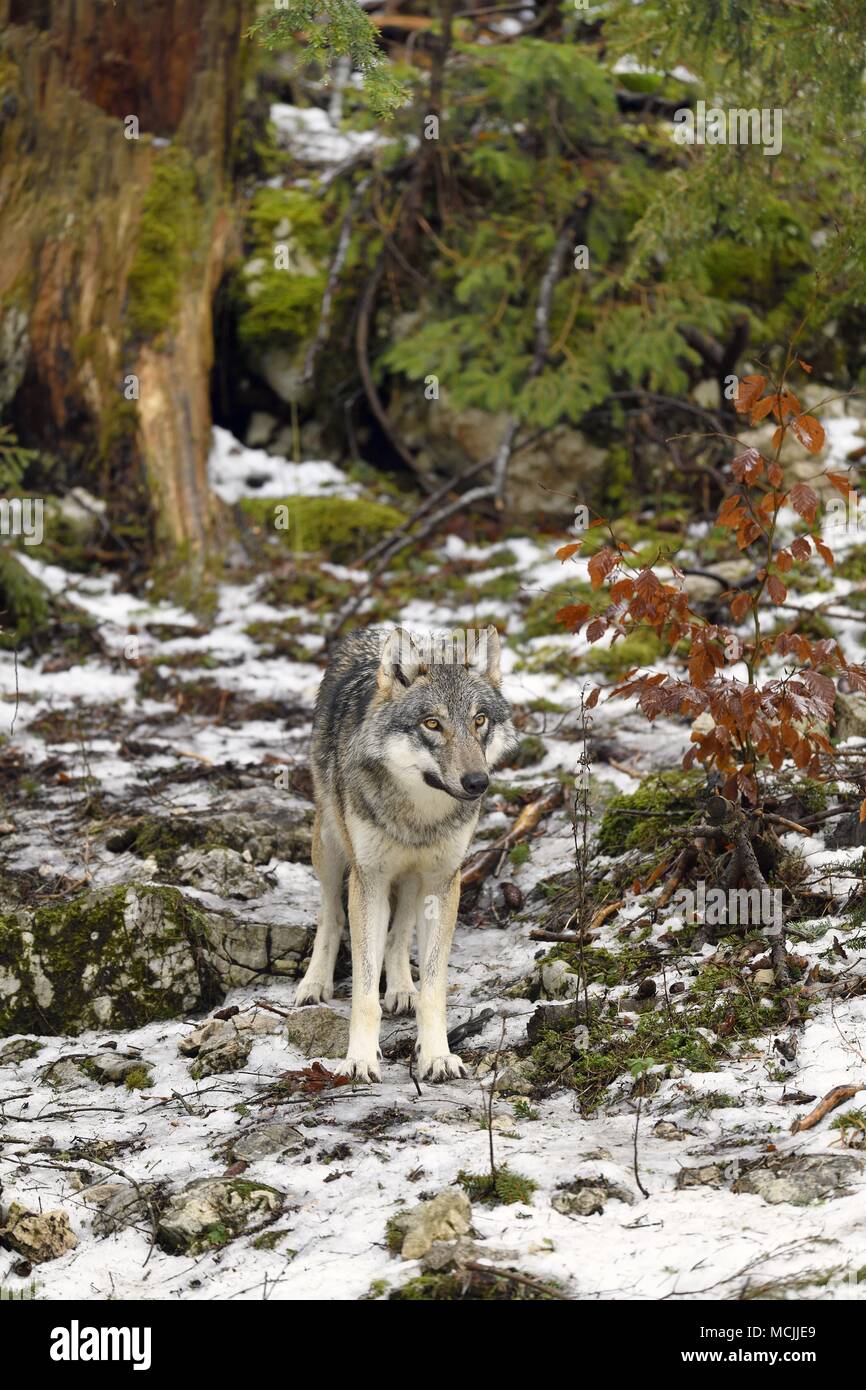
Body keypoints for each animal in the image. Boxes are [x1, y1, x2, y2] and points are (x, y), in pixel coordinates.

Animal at [295, 625, 517, 1082]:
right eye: (432, 723)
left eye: (479, 720)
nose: (477, 782)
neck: (419, 814)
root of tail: (372, 630)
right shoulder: (369, 879)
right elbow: (364, 990)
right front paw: (359, 1060)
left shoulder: (442, 881)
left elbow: (432, 986)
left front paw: (437, 1056)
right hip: (331, 848)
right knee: (331, 915)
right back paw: (314, 984)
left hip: (413, 881)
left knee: (398, 936)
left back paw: (400, 988)